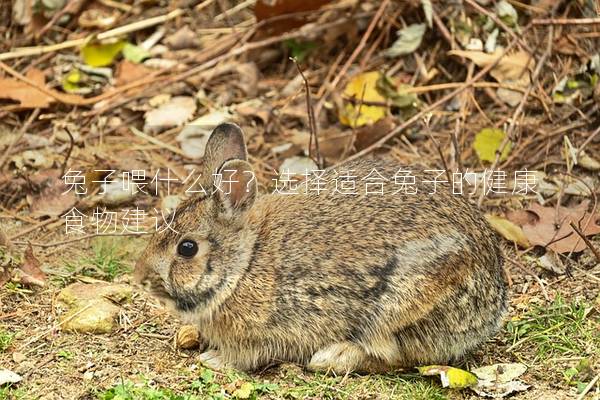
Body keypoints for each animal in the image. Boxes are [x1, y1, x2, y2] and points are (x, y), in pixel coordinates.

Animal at [135, 122, 506, 376]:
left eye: (187, 248)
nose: (141, 277)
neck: (246, 262)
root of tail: (492, 307)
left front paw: (213, 358)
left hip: (400, 305)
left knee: (394, 356)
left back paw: (332, 357)